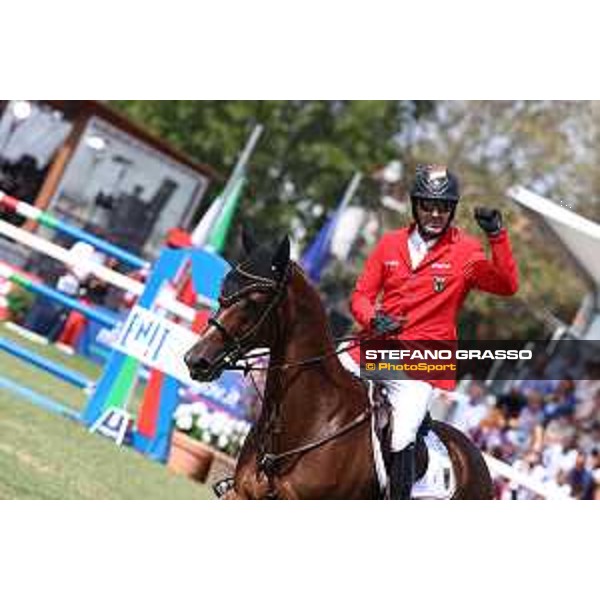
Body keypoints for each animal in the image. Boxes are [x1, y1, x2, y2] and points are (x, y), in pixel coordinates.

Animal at [183, 232, 492, 500]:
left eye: (254, 301)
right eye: (223, 289)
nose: (196, 359)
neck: (310, 419)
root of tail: (475, 457)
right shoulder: (242, 495)